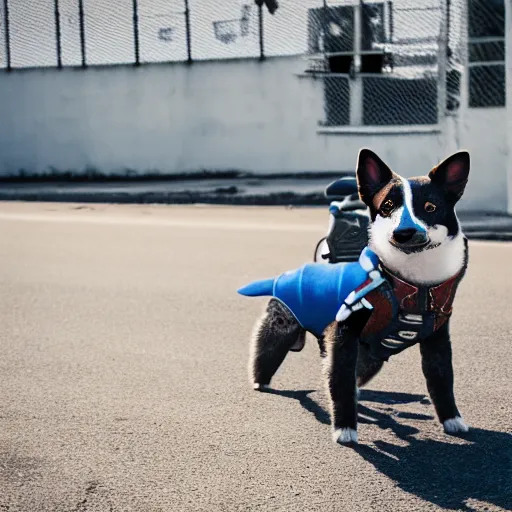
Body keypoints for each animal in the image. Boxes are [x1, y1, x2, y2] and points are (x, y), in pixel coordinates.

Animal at [242, 148, 470, 444]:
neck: (409, 282)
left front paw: (452, 419)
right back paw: (261, 380)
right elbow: (340, 380)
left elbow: (442, 377)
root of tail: (285, 275)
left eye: (430, 207)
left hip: (370, 359)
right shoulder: (343, 333)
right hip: (280, 324)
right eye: (387, 206)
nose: (404, 233)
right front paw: (344, 429)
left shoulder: (437, 336)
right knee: (269, 351)